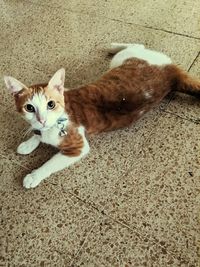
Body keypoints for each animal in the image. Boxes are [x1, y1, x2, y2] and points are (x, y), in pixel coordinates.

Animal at [3, 43, 200, 189]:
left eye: (50, 104)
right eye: (29, 108)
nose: (42, 120)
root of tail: (172, 74)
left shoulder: (78, 147)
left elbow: (50, 163)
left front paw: (34, 175)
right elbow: (36, 134)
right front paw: (29, 143)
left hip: (122, 59)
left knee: (137, 45)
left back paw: (113, 46)